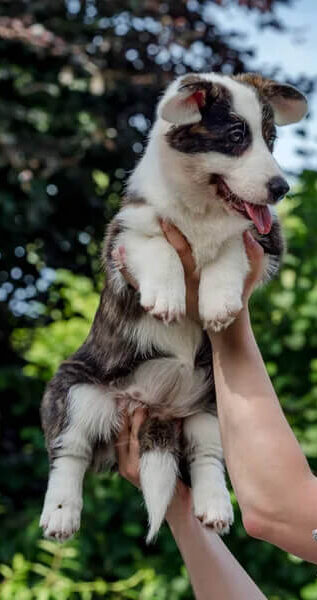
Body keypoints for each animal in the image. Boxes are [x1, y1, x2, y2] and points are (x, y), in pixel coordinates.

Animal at [39, 71, 306, 544]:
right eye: (237, 136)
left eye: (271, 139)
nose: (282, 189)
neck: (202, 208)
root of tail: (159, 407)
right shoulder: (123, 236)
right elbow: (158, 246)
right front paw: (167, 297)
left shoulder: (267, 240)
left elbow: (231, 247)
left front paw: (218, 303)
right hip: (75, 390)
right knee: (69, 452)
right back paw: (60, 514)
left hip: (210, 409)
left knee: (207, 459)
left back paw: (215, 508)